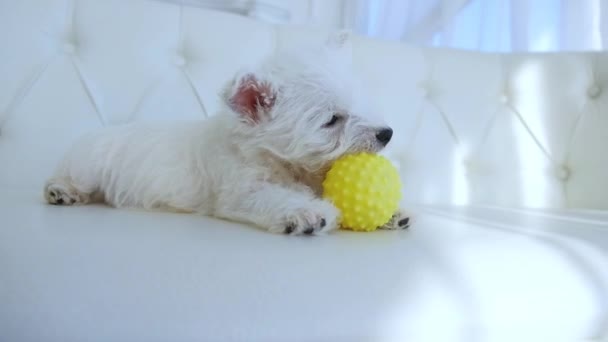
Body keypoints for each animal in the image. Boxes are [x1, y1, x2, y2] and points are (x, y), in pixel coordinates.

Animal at [45, 32, 410, 235]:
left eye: (361, 101)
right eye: (332, 120)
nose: (387, 133)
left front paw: (393, 212)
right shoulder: (241, 190)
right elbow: (274, 196)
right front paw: (308, 212)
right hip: (87, 164)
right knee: (72, 179)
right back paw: (61, 191)